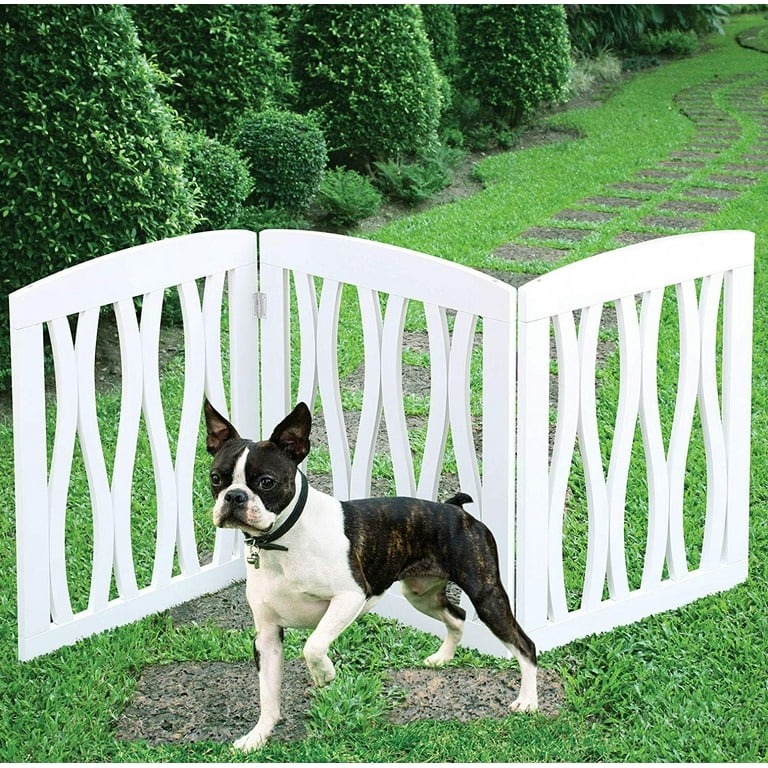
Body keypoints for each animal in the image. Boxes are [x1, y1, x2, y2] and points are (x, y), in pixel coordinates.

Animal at [204, 400, 540, 752]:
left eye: (266, 482)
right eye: (216, 478)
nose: (234, 496)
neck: (282, 540)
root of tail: (455, 509)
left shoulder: (350, 596)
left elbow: (313, 644)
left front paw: (324, 675)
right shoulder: (267, 635)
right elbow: (268, 694)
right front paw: (257, 737)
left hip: (485, 594)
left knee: (525, 644)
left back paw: (528, 701)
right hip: (420, 594)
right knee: (457, 615)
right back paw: (443, 657)